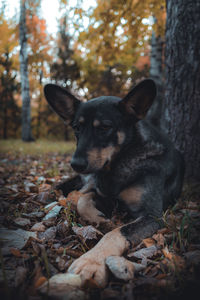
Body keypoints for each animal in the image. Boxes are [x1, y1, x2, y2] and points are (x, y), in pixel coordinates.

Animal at [43, 79, 184, 286]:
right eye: (77, 127)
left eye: (104, 127)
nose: (76, 164)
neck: (120, 161)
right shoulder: (103, 191)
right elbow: (83, 201)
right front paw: (99, 218)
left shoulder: (153, 215)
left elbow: (117, 232)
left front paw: (91, 261)